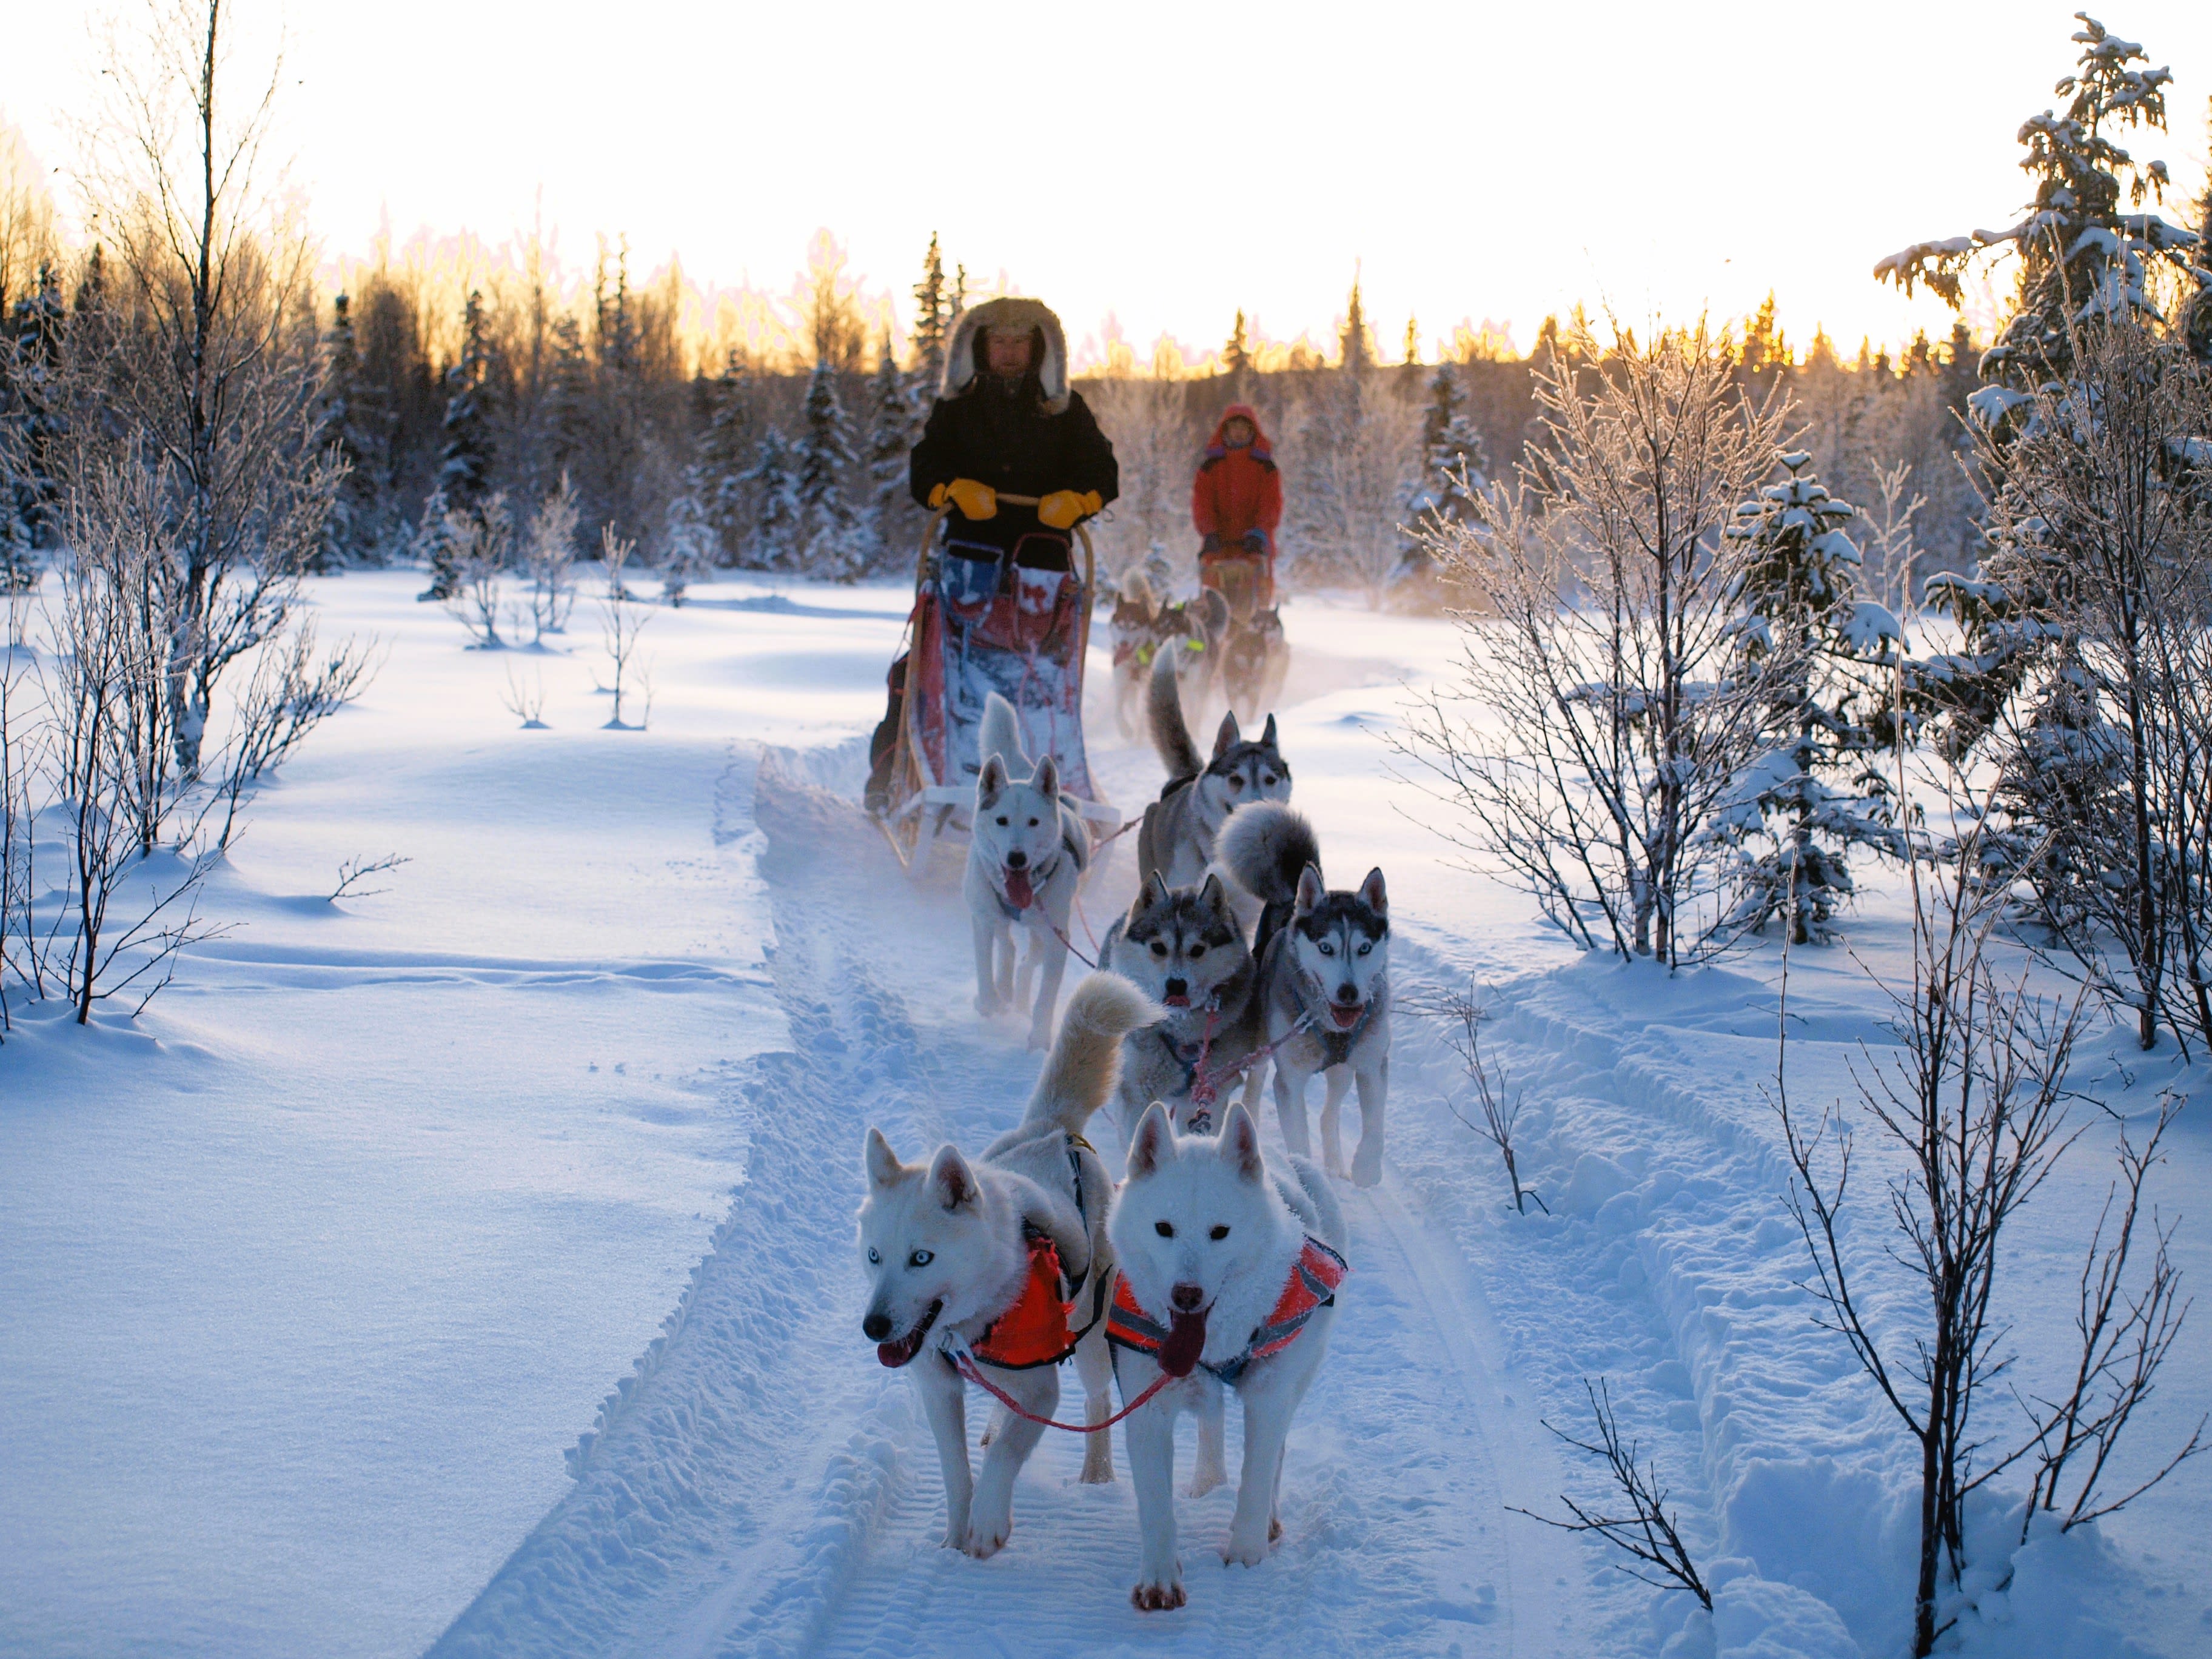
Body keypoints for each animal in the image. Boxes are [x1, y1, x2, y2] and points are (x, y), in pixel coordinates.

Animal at [858, 973, 1159, 1557]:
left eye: (921, 1258)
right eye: (874, 1256)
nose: (874, 1327)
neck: (970, 1323)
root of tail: (1053, 1128)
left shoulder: (1043, 1388)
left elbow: (1005, 1458)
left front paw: (987, 1524)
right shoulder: (938, 1388)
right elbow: (957, 1471)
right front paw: (956, 1533)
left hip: (1089, 1337)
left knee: (1096, 1402)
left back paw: (1097, 1474)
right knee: (1008, 1407)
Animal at [968, 690, 1088, 1053]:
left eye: (1034, 822)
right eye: (1002, 820)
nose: (1017, 858)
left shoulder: (1058, 939)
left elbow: (1046, 995)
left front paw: (1039, 1037)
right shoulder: (981, 917)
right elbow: (984, 967)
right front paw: (989, 1001)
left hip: (1042, 932)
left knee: (1025, 962)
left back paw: (1017, 997)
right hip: (996, 916)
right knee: (1007, 947)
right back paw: (1003, 994)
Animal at [1106, 1106, 1344, 1610]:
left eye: (1220, 1233)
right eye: (1164, 1228)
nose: (1187, 1294)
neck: (1211, 1344)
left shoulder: (1269, 1400)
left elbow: (1257, 1476)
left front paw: (1246, 1553)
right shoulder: (1147, 1408)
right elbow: (1156, 1504)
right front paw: (1160, 1578)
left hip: (1295, 1381)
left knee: (1275, 1453)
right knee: (1210, 1421)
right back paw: (1207, 1480)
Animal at [1221, 800, 1389, 1185]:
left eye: (1364, 948)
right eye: (1326, 948)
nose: (1348, 993)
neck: (1331, 1024)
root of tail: (1293, 899)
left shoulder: (1372, 1064)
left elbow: (1375, 1126)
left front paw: (1367, 1169)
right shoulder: (1290, 1080)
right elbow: (1298, 1140)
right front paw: (1309, 1178)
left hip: (1342, 1071)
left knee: (1329, 1113)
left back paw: (1336, 1162)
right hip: (1262, 1046)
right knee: (1254, 1088)